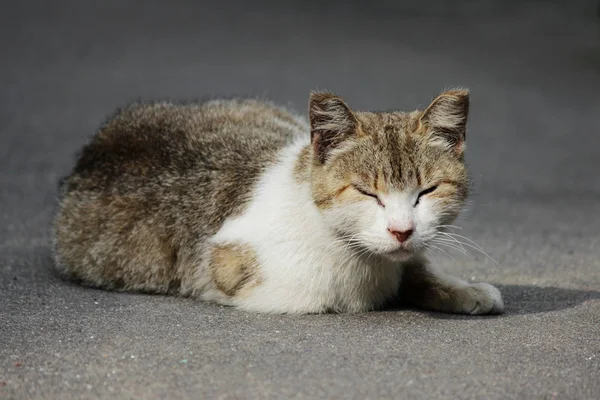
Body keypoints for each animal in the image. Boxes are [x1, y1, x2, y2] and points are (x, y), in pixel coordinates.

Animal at [51, 90, 504, 316]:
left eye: (427, 191)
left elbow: (414, 268)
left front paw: (461, 289)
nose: (401, 230)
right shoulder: (234, 271)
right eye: (367, 193)